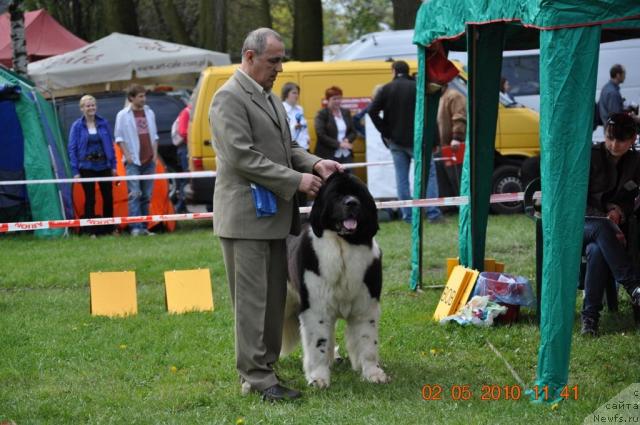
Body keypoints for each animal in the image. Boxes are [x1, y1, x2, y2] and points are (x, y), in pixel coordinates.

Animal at [282, 171, 390, 388]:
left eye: (358, 194)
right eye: (337, 195)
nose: (352, 203)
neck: (343, 245)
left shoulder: (365, 306)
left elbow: (368, 342)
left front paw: (373, 373)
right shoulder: (316, 308)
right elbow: (318, 343)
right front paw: (318, 377)